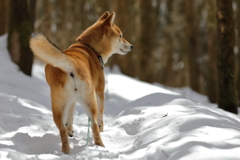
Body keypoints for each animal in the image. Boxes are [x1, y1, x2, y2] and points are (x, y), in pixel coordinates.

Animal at [29, 11, 133, 154]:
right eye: (121, 36)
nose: (132, 46)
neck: (90, 48)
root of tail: (71, 64)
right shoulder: (99, 92)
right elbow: (100, 119)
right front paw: (102, 130)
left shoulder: (72, 101)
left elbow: (70, 118)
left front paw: (71, 132)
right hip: (90, 101)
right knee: (94, 124)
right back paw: (100, 146)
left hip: (58, 105)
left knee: (61, 128)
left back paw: (66, 151)